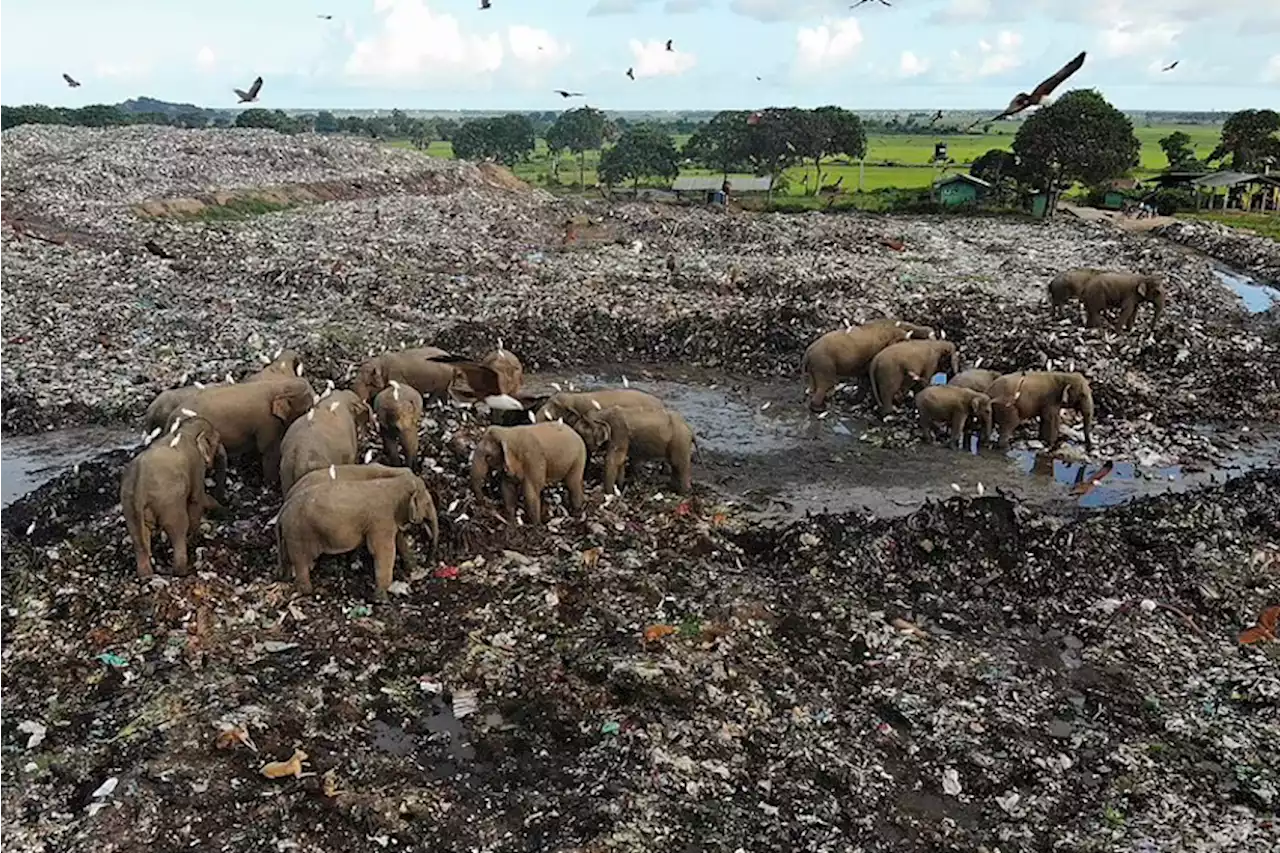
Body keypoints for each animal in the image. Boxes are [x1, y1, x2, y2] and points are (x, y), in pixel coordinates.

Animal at [120, 412, 222, 578]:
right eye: (217, 440)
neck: (184, 430)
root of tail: (139, 485)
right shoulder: (197, 466)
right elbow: (196, 499)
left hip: (129, 505)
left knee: (138, 537)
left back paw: (146, 575)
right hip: (168, 502)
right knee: (178, 529)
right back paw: (182, 571)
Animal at [272, 468, 437, 601]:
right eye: (428, 504)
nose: (427, 564)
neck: (394, 481)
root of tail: (282, 510)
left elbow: (398, 540)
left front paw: (413, 569)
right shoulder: (380, 521)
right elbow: (383, 551)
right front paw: (381, 600)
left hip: (290, 534)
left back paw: (287, 579)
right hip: (298, 534)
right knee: (301, 562)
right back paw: (310, 592)